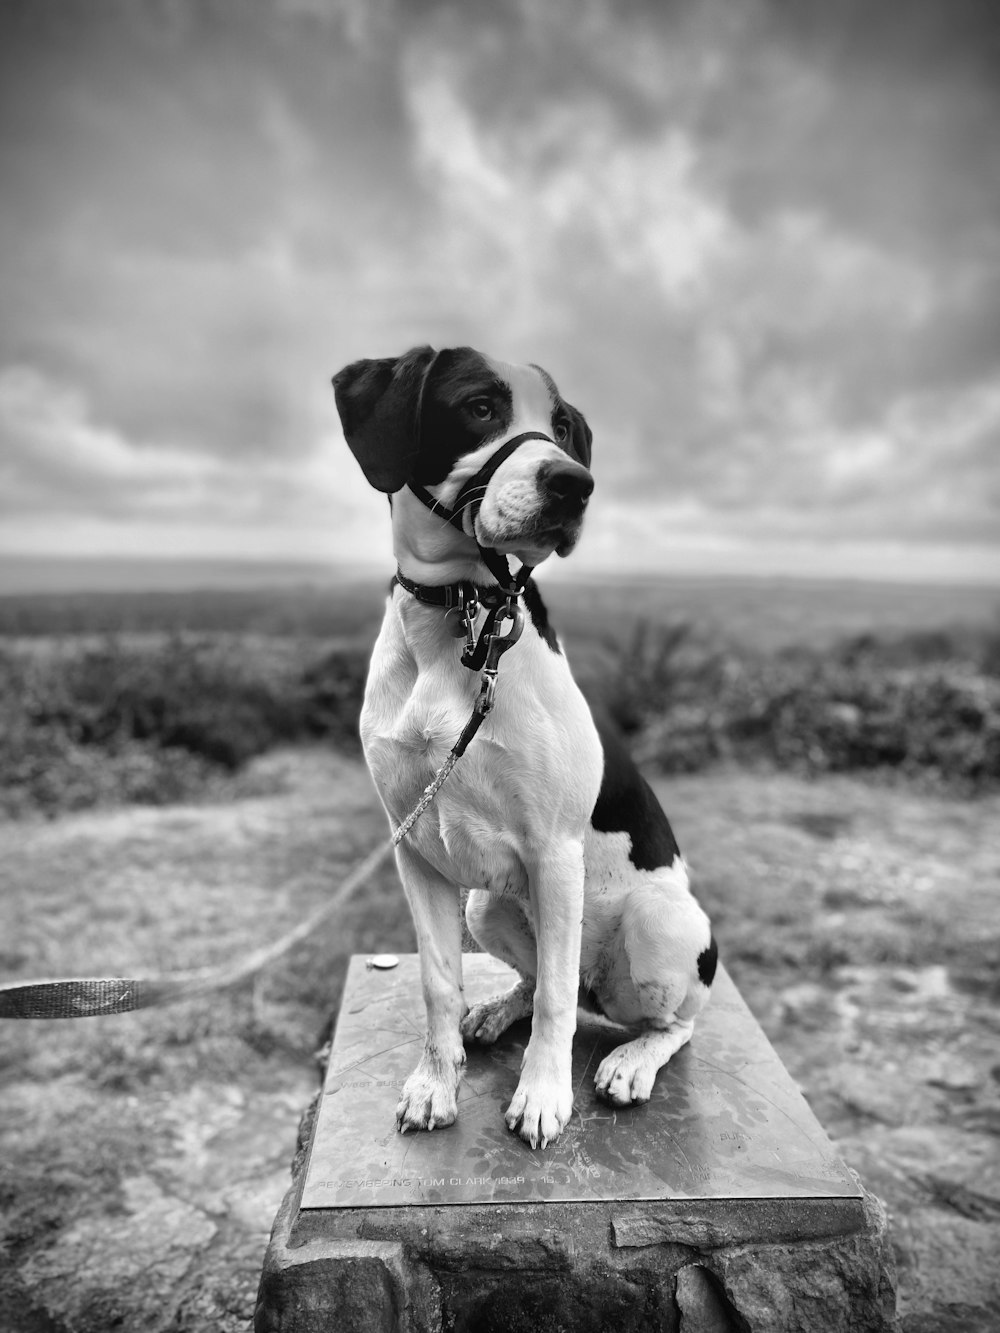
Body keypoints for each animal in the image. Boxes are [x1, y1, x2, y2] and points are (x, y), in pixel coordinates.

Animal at [337, 343, 720, 1146]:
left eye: (565, 427)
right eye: (480, 406)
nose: (575, 484)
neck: (462, 617)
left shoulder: (553, 850)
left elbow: (554, 1008)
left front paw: (542, 1095)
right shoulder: (413, 847)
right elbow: (438, 981)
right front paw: (435, 1082)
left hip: (660, 920)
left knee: (656, 1018)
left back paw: (631, 1060)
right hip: (486, 905)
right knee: (545, 977)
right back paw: (496, 1010)